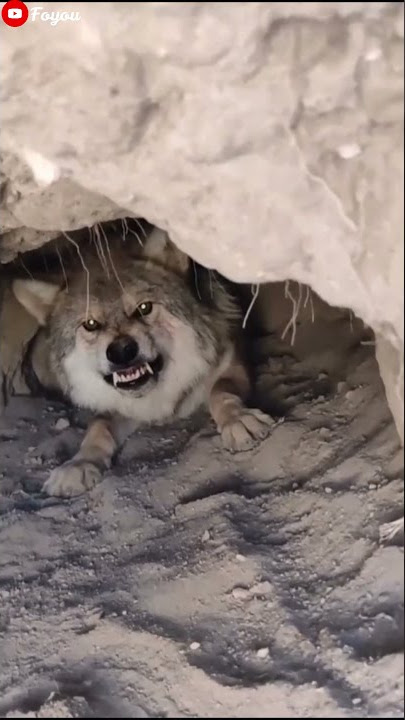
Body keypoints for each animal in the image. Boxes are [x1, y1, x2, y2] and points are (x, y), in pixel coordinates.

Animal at [12, 226, 274, 497]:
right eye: (91, 324)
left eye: (144, 308)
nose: (121, 351)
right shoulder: (119, 407)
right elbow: (98, 426)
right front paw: (79, 464)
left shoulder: (231, 361)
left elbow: (221, 392)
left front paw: (238, 419)